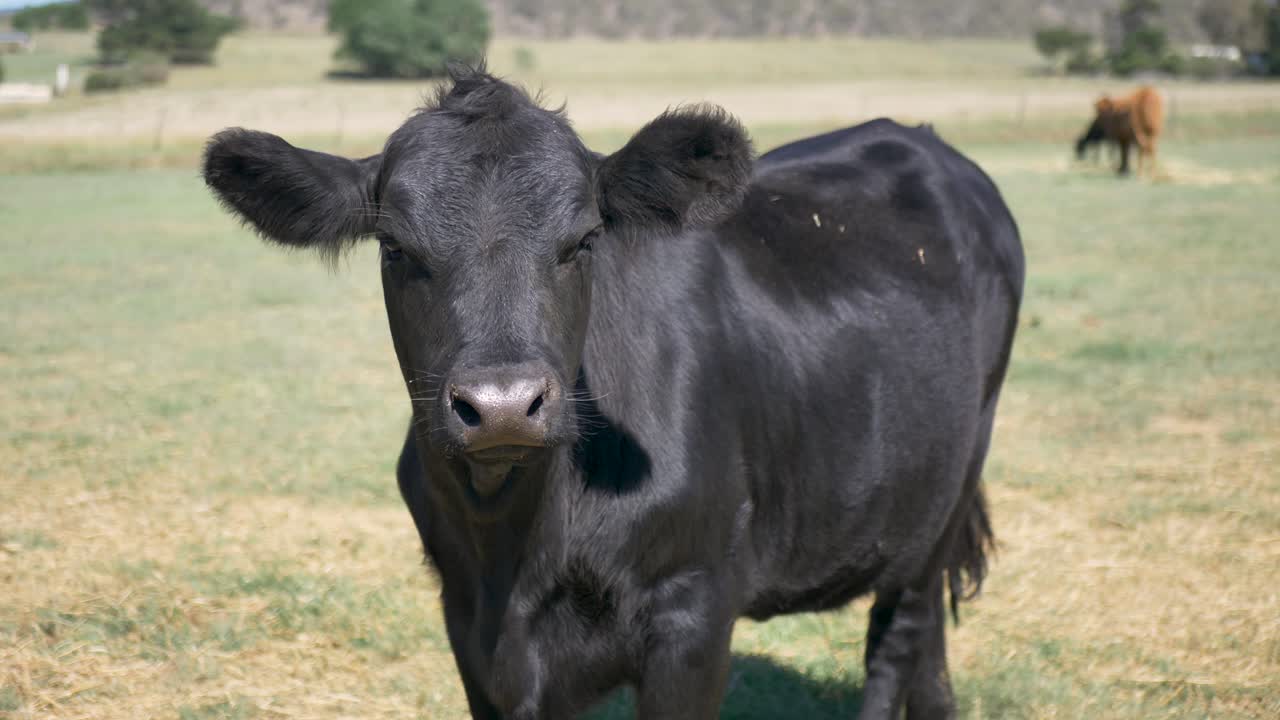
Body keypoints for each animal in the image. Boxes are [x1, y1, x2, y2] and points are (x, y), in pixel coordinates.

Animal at [202, 66, 1024, 720]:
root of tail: (919, 140)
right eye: (395, 247)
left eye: (585, 240)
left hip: (942, 495)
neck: (516, 544)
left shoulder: (693, 611)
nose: (503, 405)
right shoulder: (467, 622)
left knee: (898, 639)